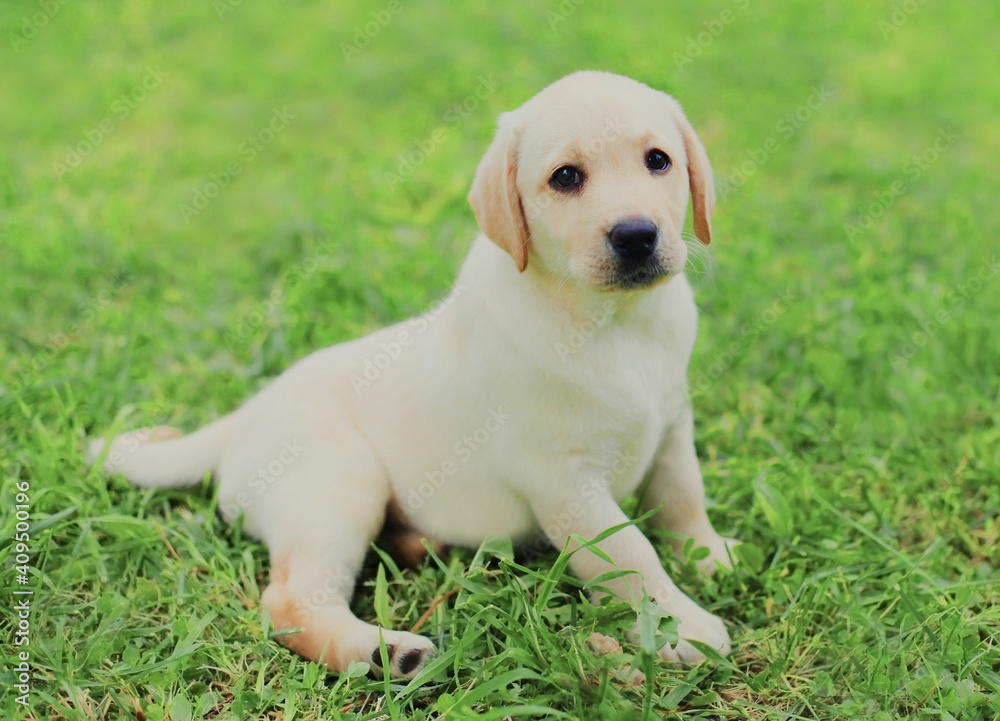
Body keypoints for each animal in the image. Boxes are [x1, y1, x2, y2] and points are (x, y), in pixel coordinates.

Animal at [90, 70, 740, 676]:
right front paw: (681, 627)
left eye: (658, 160)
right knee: (291, 602)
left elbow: (683, 495)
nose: (636, 234)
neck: (615, 323)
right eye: (565, 178)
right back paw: (387, 652)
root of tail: (237, 422)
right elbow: (630, 553)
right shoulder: (563, 478)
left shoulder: (672, 425)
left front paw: (708, 554)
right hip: (336, 483)